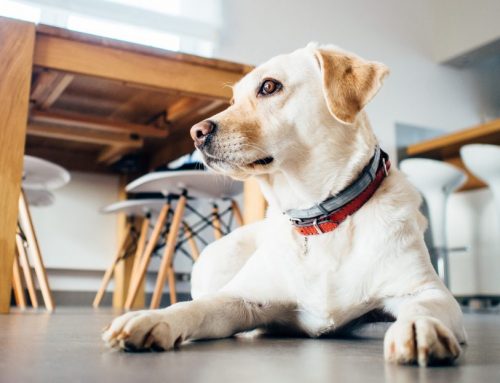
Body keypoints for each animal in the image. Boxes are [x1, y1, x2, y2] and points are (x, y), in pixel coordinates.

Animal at [103, 43, 466, 368]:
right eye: (232, 100)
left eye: (269, 86)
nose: (196, 132)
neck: (320, 218)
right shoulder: (237, 298)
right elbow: (195, 308)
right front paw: (152, 319)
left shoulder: (428, 291)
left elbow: (422, 307)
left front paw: (418, 327)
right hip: (215, 259)